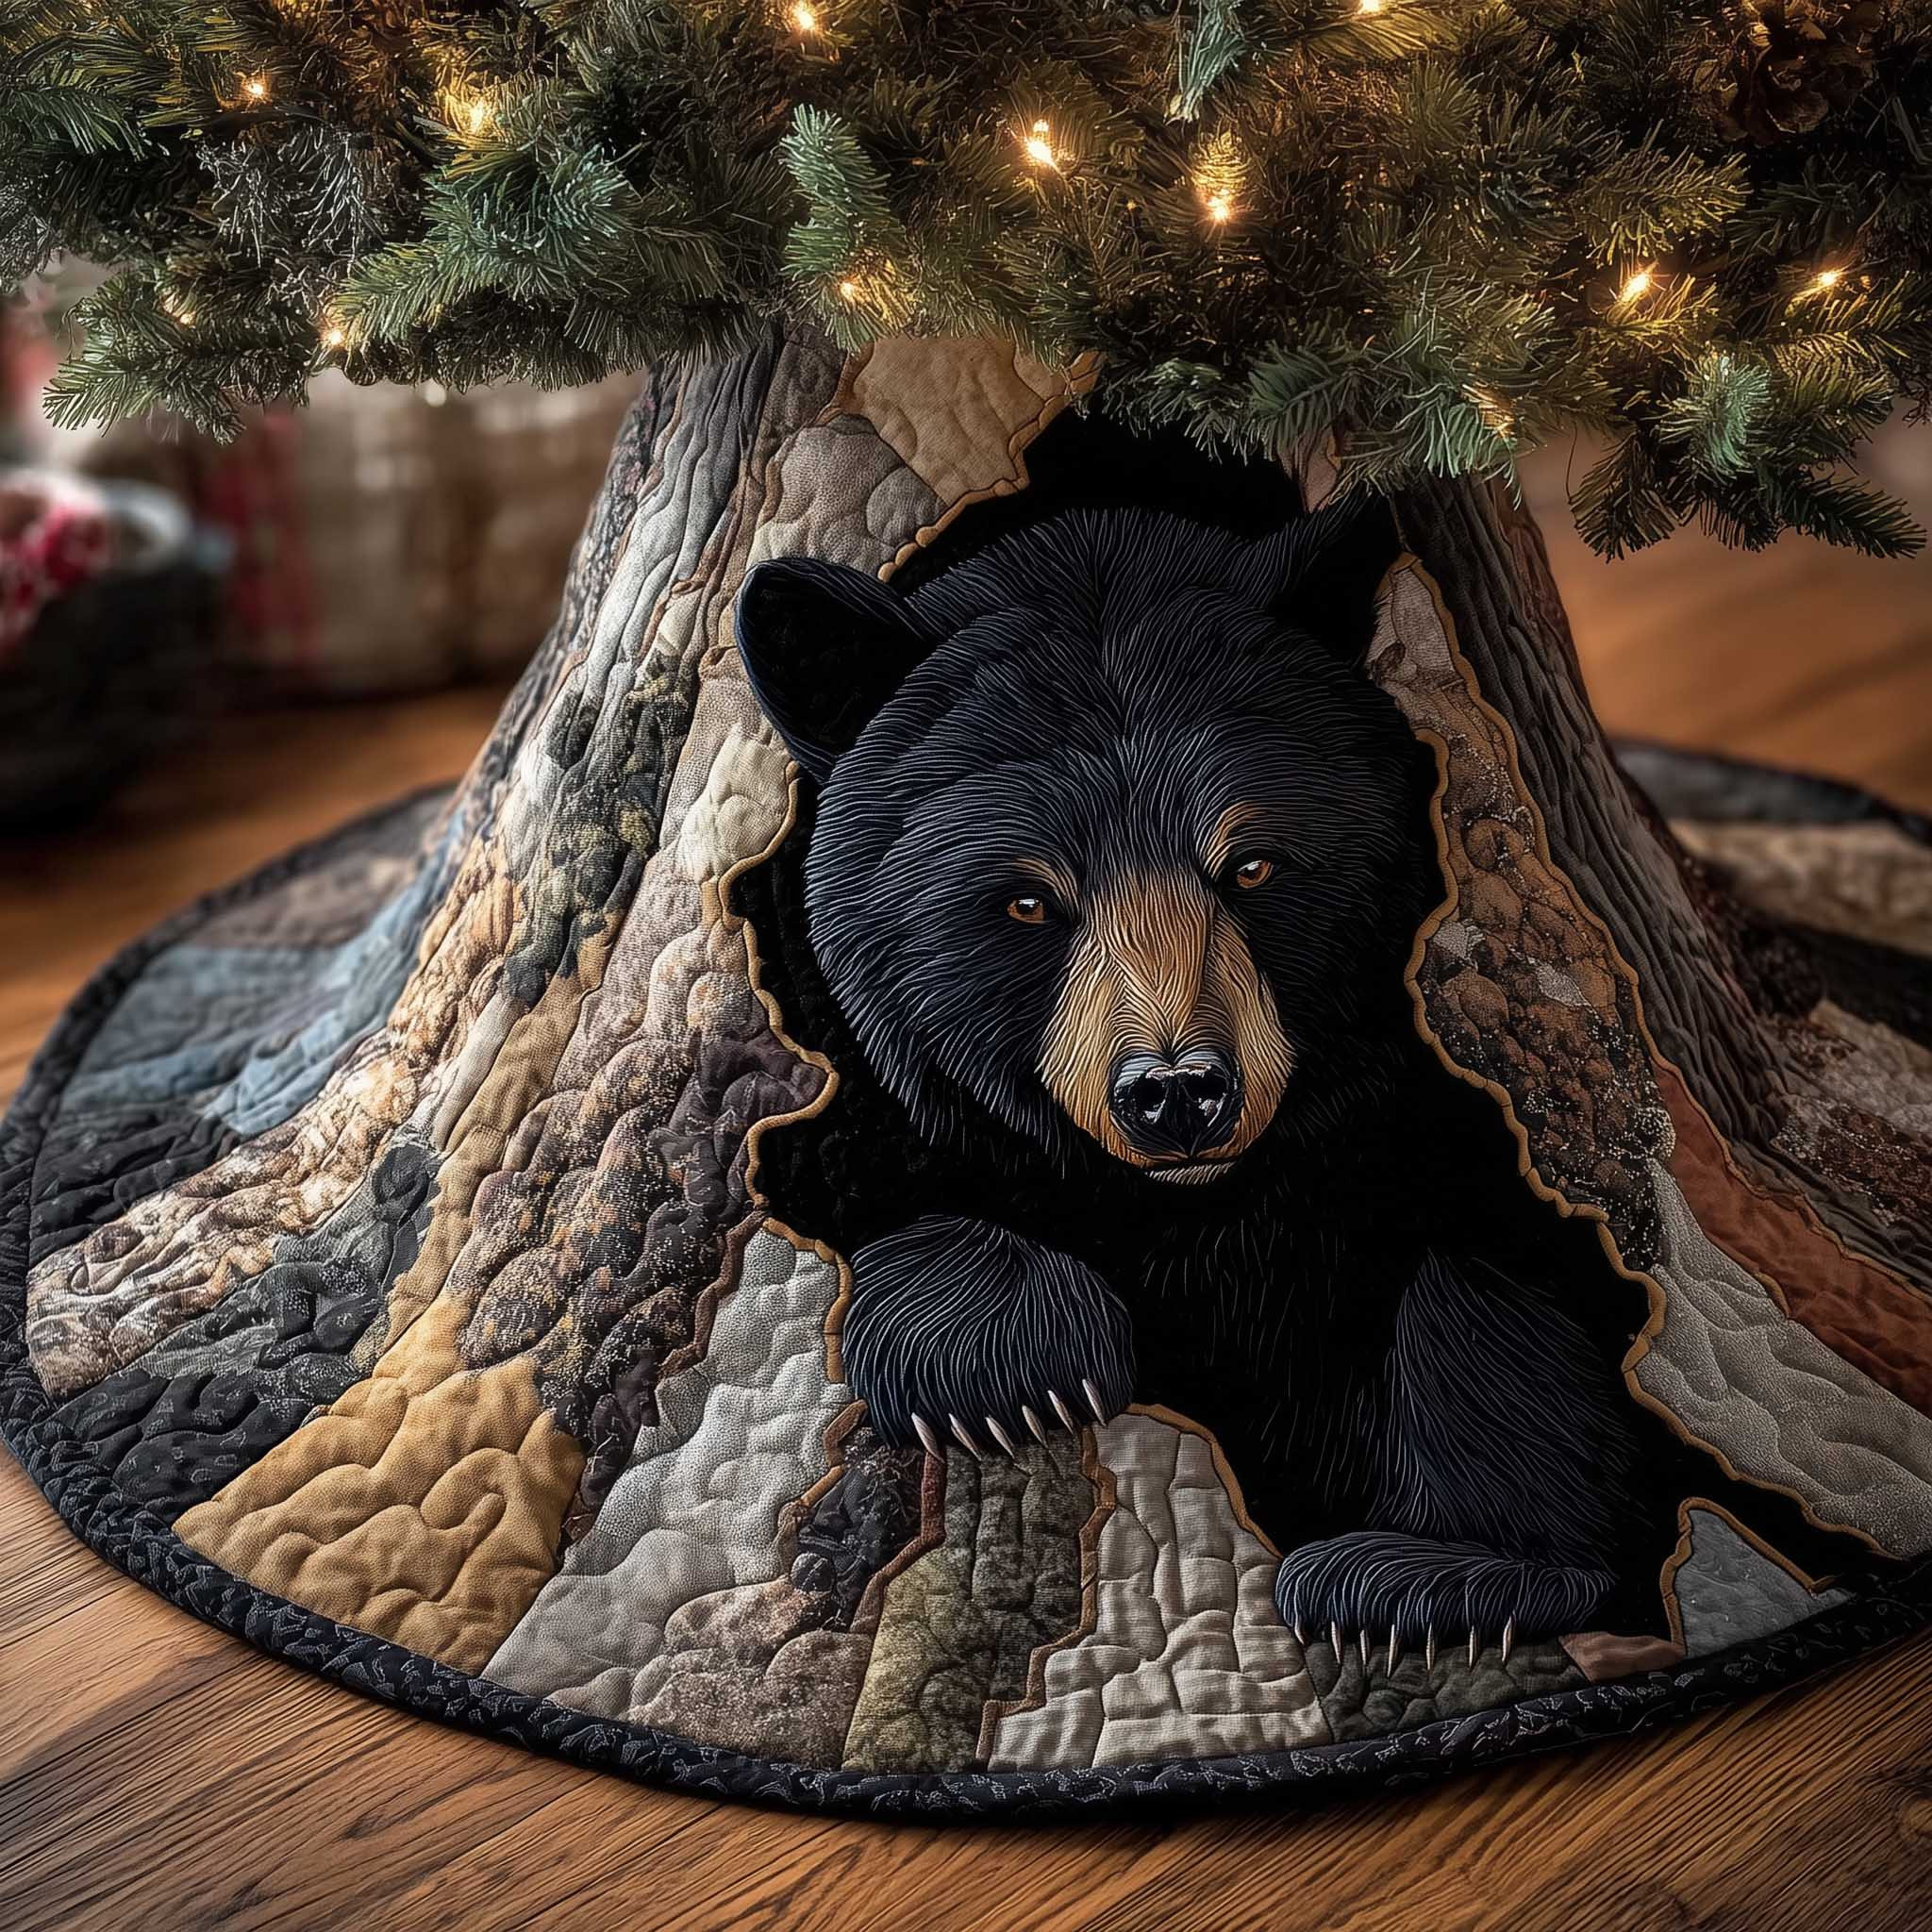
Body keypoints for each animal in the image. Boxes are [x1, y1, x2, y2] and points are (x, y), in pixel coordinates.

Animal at [734, 498, 1675, 1662]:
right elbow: (845, 1179)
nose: (1176, 1090)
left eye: (1252, 864)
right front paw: (1002, 1354)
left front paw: (1434, 1575)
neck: (1185, 1211)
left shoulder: (1426, 1134)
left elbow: (1496, 1298)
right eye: (1028, 899)